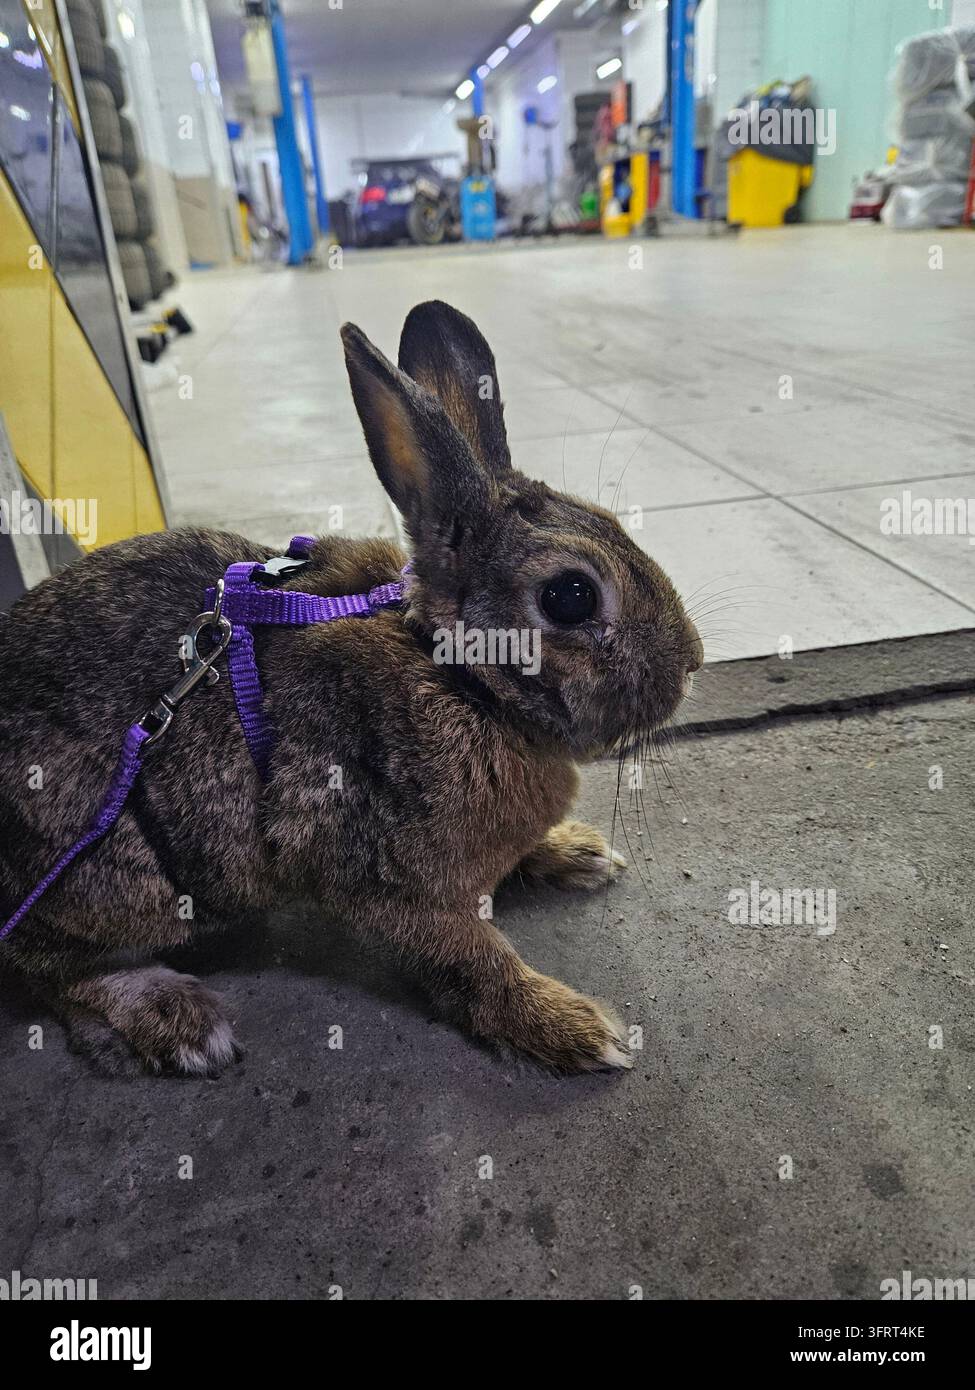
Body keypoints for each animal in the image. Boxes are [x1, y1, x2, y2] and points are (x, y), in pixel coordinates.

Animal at [0, 300, 703, 1077]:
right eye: (571, 597)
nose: (692, 663)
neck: (457, 676)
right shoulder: (385, 878)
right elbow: (471, 958)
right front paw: (570, 1029)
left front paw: (575, 853)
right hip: (114, 873)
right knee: (50, 969)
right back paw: (178, 1021)